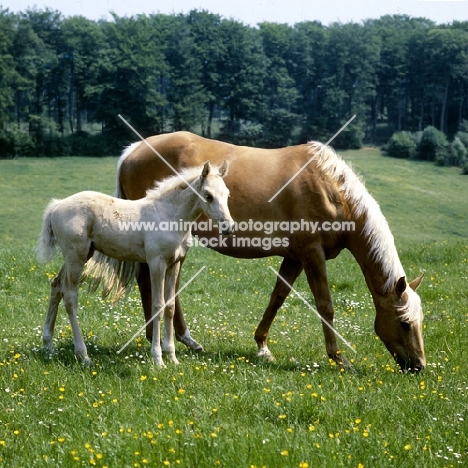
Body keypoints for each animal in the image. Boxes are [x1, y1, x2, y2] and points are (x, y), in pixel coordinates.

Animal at [37, 161, 234, 366]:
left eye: (227, 194)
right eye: (208, 195)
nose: (229, 227)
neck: (170, 215)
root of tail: (57, 206)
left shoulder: (174, 264)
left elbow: (170, 307)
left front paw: (172, 357)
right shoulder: (156, 263)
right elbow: (157, 306)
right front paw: (158, 358)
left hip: (82, 255)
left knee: (56, 285)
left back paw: (48, 345)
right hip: (76, 256)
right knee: (70, 297)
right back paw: (83, 355)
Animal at [107, 133, 428, 372]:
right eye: (404, 323)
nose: (418, 366)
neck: (329, 187)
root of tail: (133, 150)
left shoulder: (295, 256)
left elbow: (278, 297)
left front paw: (262, 345)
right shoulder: (312, 254)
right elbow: (325, 306)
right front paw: (339, 358)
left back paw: (182, 340)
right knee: (150, 283)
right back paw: (158, 338)